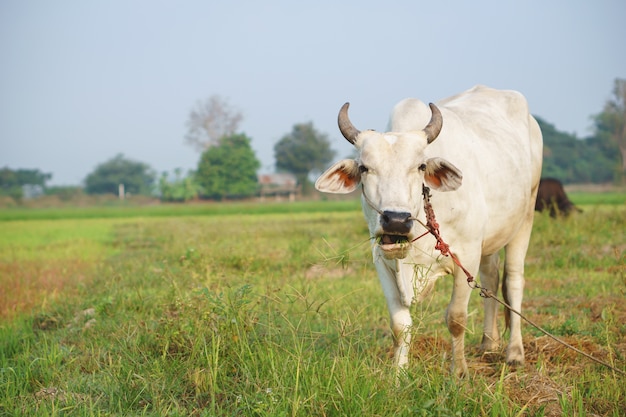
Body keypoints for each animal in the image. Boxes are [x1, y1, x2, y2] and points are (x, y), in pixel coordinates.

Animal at [314, 84, 540, 374]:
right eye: (364, 168)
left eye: (421, 166)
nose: (396, 220)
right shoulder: (382, 260)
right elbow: (400, 326)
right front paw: (398, 374)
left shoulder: (467, 255)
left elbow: (456, 318)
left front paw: (459, 372)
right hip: (491, 237)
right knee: (490, 277)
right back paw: (489, 343)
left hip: (525, 217)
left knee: (513, 282)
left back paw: (514, 352)